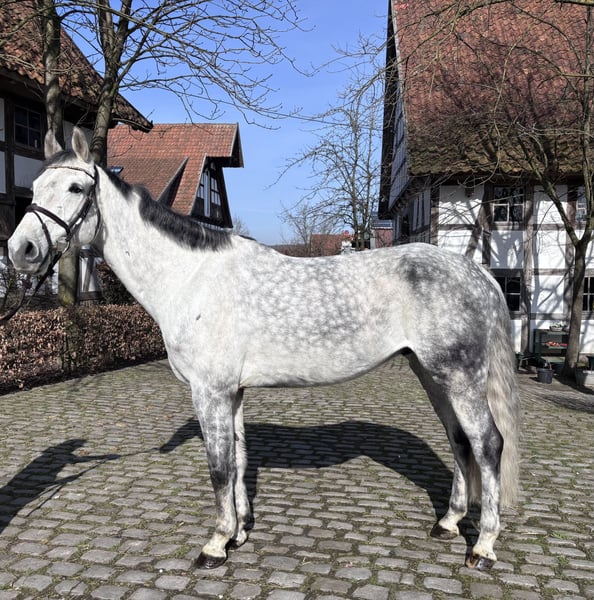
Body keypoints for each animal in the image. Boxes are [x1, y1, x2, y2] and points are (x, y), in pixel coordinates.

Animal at [8, 128, 520, 571]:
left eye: (76, 187)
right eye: (35, 186)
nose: (21, 250)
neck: (190, 277)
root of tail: (478, 273)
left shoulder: (209, 392)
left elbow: (218, 467)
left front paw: (215, 545)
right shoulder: (232, 393)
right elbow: (237, 460)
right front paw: (238, 533)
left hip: (459, 377)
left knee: (487, 444)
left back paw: (483, 547)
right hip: (432, 374)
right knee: (459, 441)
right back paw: (449, 522)